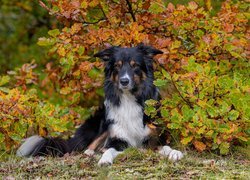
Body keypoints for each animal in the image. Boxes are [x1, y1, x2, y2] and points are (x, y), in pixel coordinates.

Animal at [16, 44, 183, 166]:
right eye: (117, 66)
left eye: (135, 65)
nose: (124, 81)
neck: (129, 99)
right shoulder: (117, 139)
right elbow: (109, 149)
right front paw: (104, 159)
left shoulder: (154, 138)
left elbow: (165, 146)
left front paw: (175, 153)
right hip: (100, 124)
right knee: (89, 146)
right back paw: (90, 152)